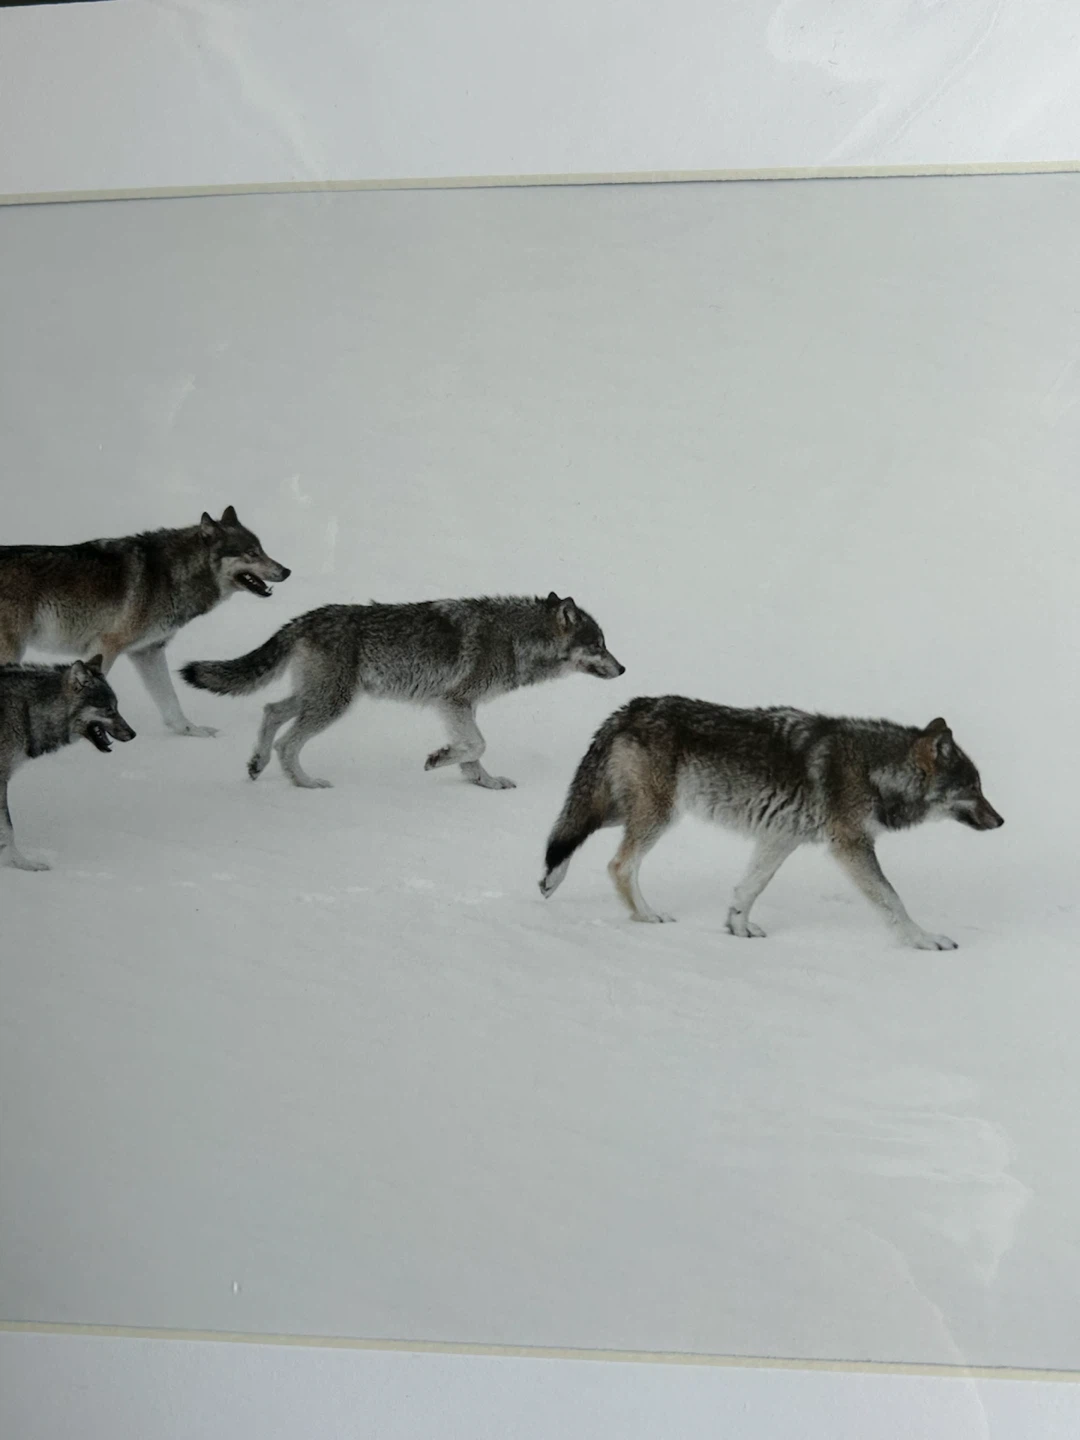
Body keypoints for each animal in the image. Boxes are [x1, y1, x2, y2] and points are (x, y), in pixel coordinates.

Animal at [0, 507, 290, 738]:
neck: (172, 575)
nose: (286, 571)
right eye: (251, 553)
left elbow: (171, 701)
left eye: (262, 550)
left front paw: (193, 731)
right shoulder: (106, 647)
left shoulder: (148, 651)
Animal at [0, 656, 136, 871]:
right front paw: (23, 864)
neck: (26, 710)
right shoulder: (1, 779)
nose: (133, 734)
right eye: (109, 710)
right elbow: (8, 830)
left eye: (117, 707)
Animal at [181, 593, 625, 790]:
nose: (623, 668)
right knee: (287, 742)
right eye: (600, 645)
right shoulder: (454, 702)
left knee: (271, 710)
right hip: (332, 703)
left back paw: (257, 765)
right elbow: (477, 744)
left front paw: (483, 781)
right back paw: (306, 783)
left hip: (318, 697)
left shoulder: (461, 707)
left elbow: (474, 752)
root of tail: (306, 618)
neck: (516, 638)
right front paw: (438, 759)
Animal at [539, 696, 1004, 950]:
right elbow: (892, 900)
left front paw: (737, 927)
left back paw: (551, 880)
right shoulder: (850, 845)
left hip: (623, 809)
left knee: (568, 833)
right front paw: (923, 940)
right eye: (975, 787)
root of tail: (629, 708)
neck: (874, 769)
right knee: (618, 864)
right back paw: (646, 916)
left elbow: (750, 888)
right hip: (658, 815)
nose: (1001, 820)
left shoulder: (780, 836)